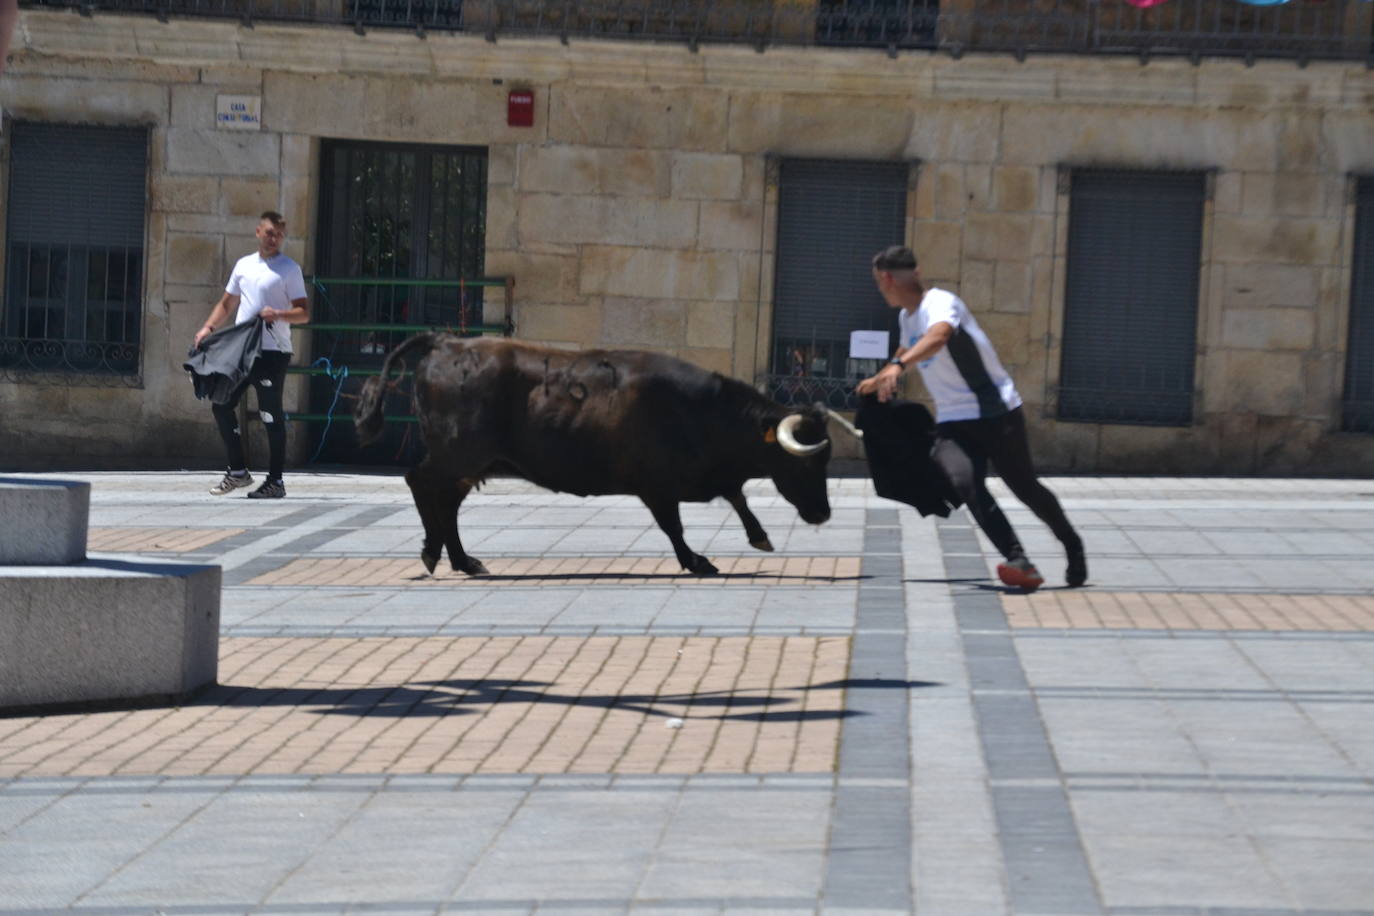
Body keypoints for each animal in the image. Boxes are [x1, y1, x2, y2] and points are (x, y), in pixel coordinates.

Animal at [354, 333, 835, 576]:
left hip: (472, 462)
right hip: (459, 453)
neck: (702, 411)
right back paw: (433, 553)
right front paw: (697, 560)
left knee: (446, 501)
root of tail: (447, 343)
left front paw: (759, 536)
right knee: (420, 482)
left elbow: (737, 497)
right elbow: (674, 525)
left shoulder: (706, 478)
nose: (823, 514)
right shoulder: (657, 485)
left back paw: (461, 560)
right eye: (806, 460)